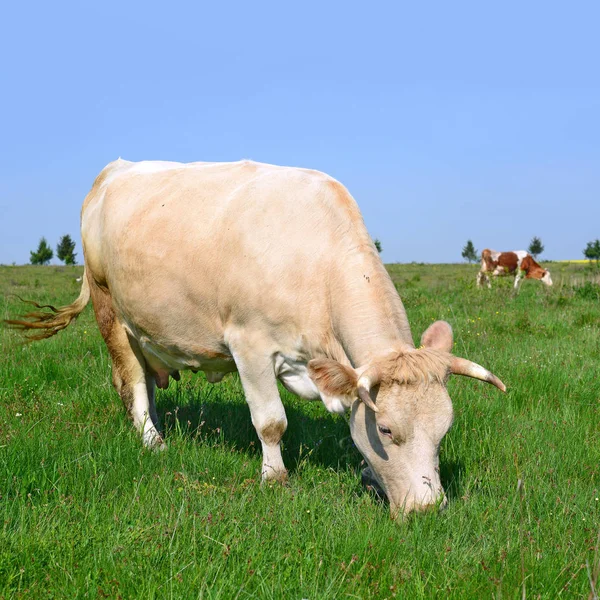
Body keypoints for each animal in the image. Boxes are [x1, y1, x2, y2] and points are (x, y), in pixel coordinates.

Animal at [8, 158, 506, 516]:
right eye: (386, 429)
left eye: (444, 429)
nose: (429, 509)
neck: (316, 262)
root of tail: (115, 168)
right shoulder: (249, 344)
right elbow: (271, 422)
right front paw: (275, 478)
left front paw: (368, 472)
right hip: (110, 309)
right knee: (131, 381)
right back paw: (153, 440)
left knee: (145, 381)